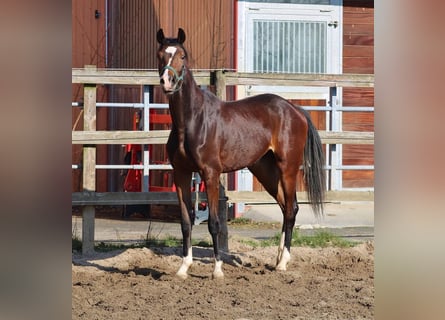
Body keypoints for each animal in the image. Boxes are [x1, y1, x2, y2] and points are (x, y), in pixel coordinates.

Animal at [157, 28, 326, 278]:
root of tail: (294, 108)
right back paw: (277, 259)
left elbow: (214, 223)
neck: (191, 120)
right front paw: (183, 268)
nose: (167, 82)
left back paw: (283, 262)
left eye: (182, 56)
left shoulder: (211, 174)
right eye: (161, 55)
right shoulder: (181, 174)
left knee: (292, 209)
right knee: (285, 207)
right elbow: (186, 222)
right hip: (265, 170)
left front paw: (217, 270)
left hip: (288, 167)